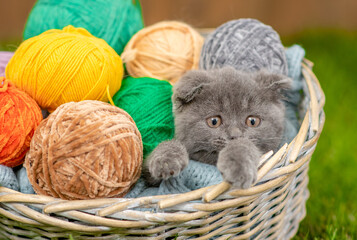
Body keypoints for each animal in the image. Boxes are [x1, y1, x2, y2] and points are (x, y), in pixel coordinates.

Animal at [143, 66, 290, 188]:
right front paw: (165, 161)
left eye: (252, 121)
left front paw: (238, 166)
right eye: (214, 121)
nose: (235, 135)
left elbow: (246, 146)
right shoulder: (147, 177)